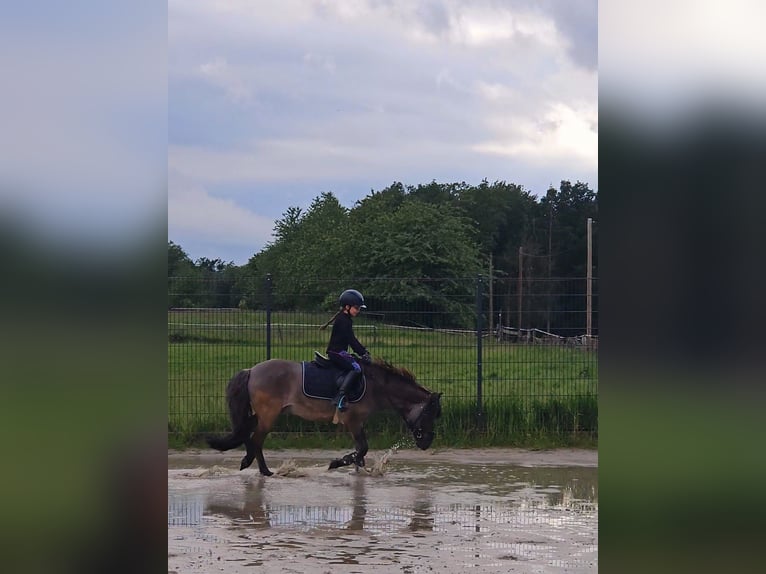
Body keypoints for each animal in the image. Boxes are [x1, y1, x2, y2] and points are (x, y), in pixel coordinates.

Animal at [207, 356, 444, 476]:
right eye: (429, 413)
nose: (427, 442)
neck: (377, 386)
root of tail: (251, 370)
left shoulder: (358, 423)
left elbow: (361, 451)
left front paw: (358, 469)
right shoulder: (353, 421)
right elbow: (362, 448)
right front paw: (337, 463)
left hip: (263, 414)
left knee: (247, 433)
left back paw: (248, 461)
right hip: (268, 416)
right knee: (256, 440)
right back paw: (265, 471)